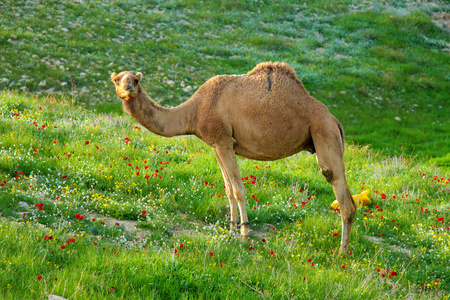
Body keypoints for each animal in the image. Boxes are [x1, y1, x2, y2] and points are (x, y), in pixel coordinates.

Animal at [110, 62, 356, 254]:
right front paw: (231, 228)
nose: (128, 89)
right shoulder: (216, 145)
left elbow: (238, 189)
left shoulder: (224, 141)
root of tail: (336, 121)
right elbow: (228, 188)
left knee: (341, 193)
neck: (195, 110)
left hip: (324, 133)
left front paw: (244, 233)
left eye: (135, 80)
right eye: (116, 80)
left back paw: (341, 253)